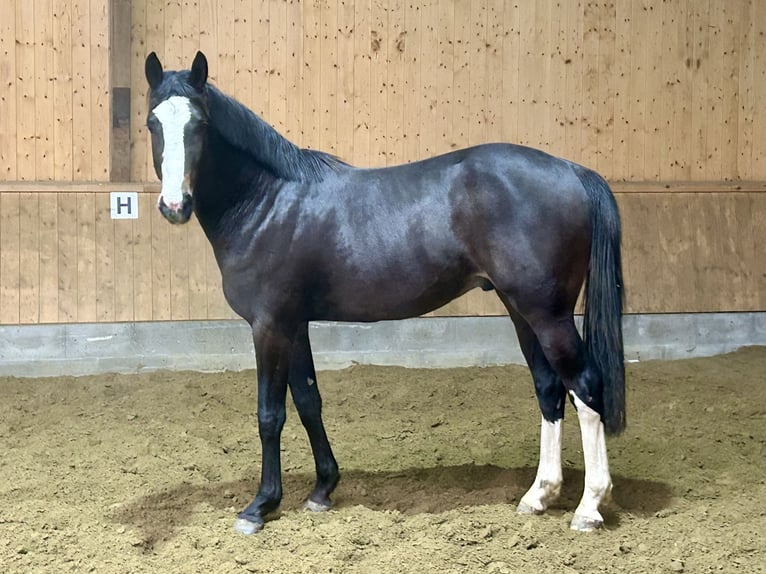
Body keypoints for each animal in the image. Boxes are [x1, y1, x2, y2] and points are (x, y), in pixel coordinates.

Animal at [144, 51, 625, 535]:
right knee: (549, 389)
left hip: (549, 315)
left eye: (200, 124)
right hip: (521, 310)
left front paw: (260, 506)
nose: (174, 206)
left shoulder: (269, 326)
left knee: (585, 386)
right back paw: (539, 495)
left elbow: (270, 414)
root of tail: (573, 171)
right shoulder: (293, 324)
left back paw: (588, 507)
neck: (269, 202)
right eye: (152, 123)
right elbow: (309, 401)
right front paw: (322, 490)